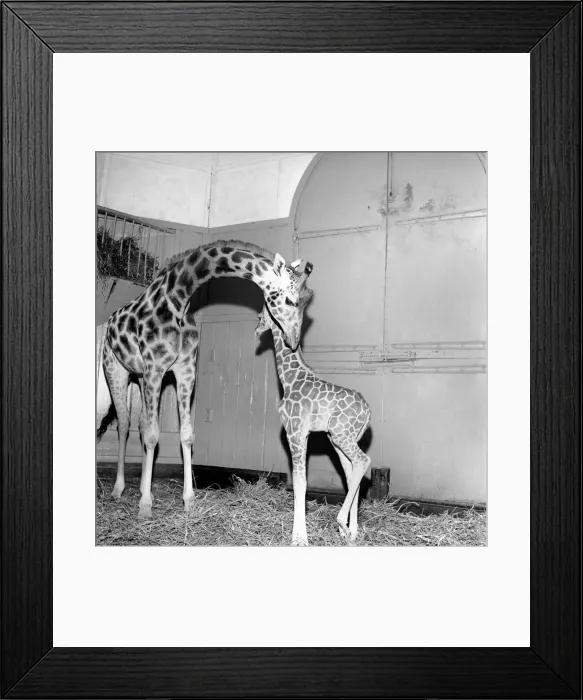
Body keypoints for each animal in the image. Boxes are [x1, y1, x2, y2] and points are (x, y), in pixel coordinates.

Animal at [97, 240, 313, 520]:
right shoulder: (156, 368)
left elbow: (185, 435)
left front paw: (189, 501)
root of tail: (112, 319)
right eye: (289, 299)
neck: (179, 299)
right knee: (124, 425)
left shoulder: (185, 370)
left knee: (142, 425)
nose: (293, 341)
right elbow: (154, 435)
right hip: (116, 369)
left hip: (141, 377)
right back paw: (118, 489)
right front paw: (145, 505)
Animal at [255, 264, 372, 545]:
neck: (289, 377)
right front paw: (300, 535)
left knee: (363, 462)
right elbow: (300, 483)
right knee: (353, 473)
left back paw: (341, 523)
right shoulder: (304, 434)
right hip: (337, 439)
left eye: (262, 313)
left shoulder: (295, 432)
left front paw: (299, 538)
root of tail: (369, 412)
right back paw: (351, 532)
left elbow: (300, 483)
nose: (256, 329)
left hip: (341, 436)